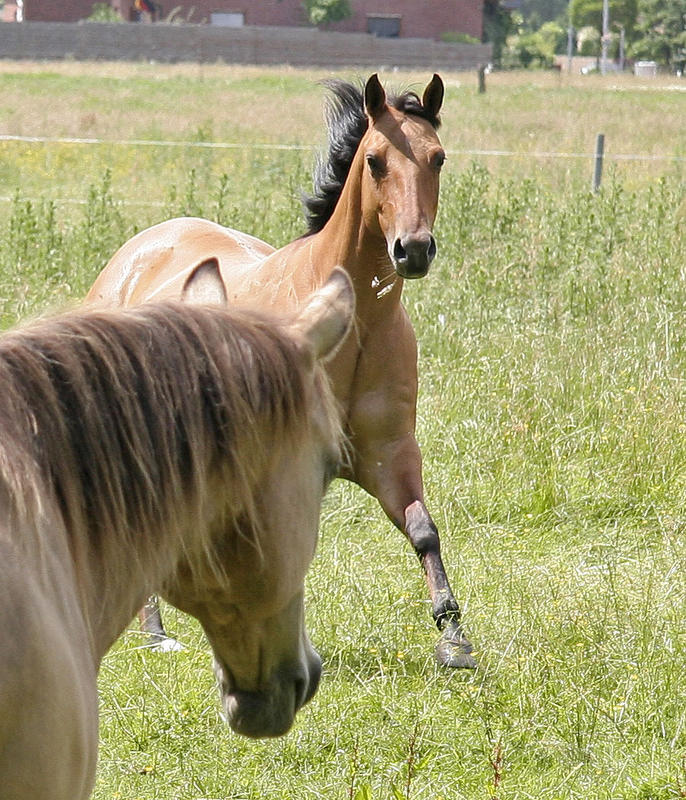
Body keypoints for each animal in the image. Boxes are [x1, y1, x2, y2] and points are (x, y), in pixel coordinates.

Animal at [88, 73, 476, 668]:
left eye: (438, 158)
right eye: (375, 161)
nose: (412, 250)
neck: (352, 328)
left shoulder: (390, 455)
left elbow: (423, 530)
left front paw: (453, 636)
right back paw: (156, 633)